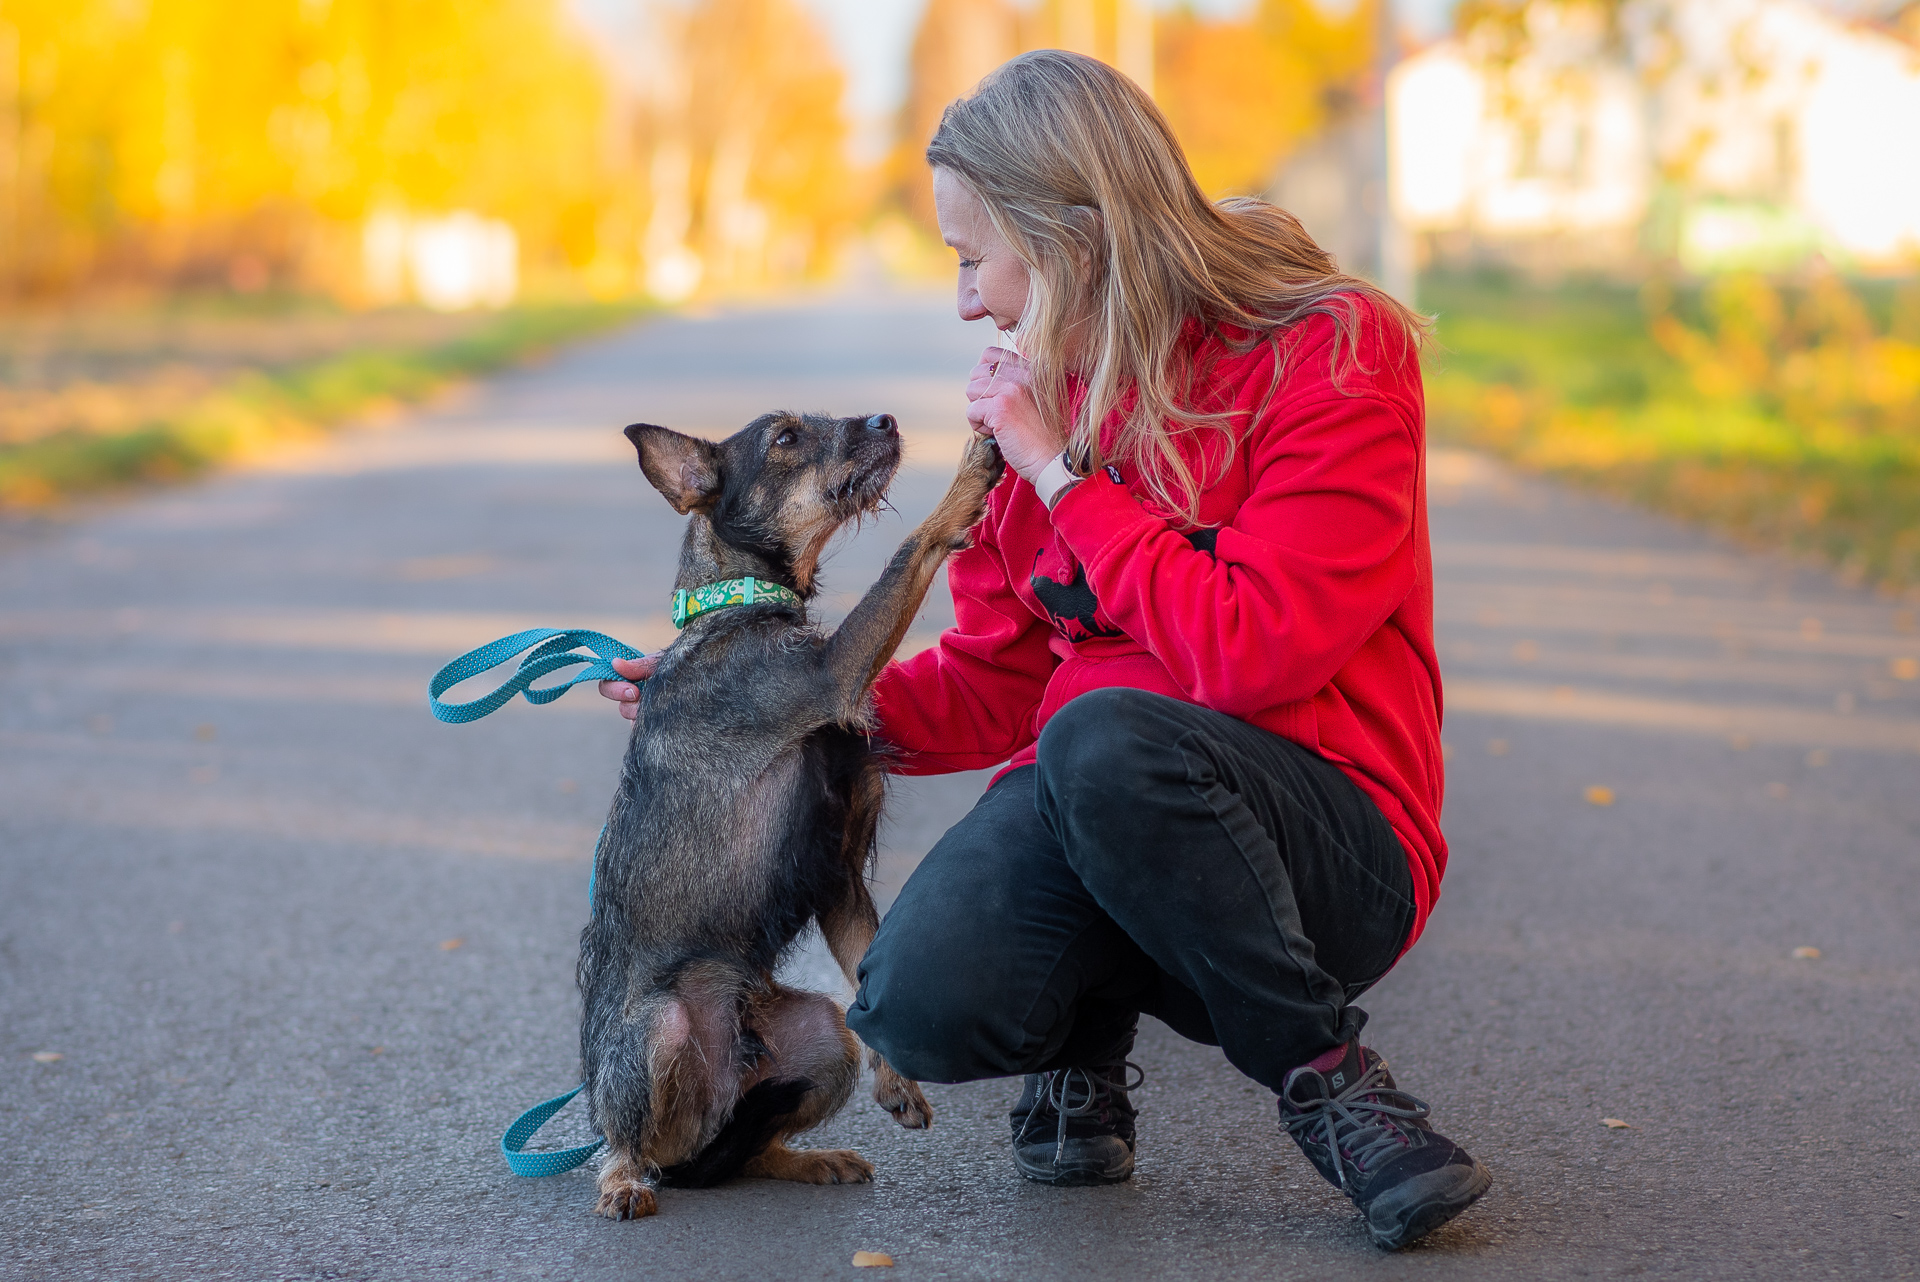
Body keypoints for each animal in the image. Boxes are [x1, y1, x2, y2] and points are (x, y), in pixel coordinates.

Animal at [576, 412, 1006, 1220]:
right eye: (784, 438)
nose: (885, 419)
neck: (737, 602)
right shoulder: (832, 671)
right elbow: (911, 548)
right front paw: (970, 475)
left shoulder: (836, 873)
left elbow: (868, 972)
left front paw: (898, 1081)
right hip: (661, 1028)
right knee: (630, 1143)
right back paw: (621, 1181)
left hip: (822, 1035)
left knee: (752, 1149)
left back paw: (810, 1159)